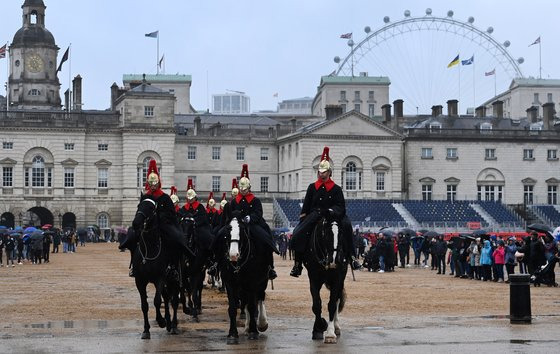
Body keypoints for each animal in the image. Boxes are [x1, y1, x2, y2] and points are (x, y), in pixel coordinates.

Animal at [130, 196, 180, 338]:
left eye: (151, 208)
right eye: (138, 205)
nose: (136, 223)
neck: (149, 249)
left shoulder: (160, 278)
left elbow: (157, 301)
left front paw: (161, 321)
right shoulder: (140, 281)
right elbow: (145, 305)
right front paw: (146, 330)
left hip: (174, 279)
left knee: (174, 301)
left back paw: (173, 325)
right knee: (167, 298)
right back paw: (168, 323)